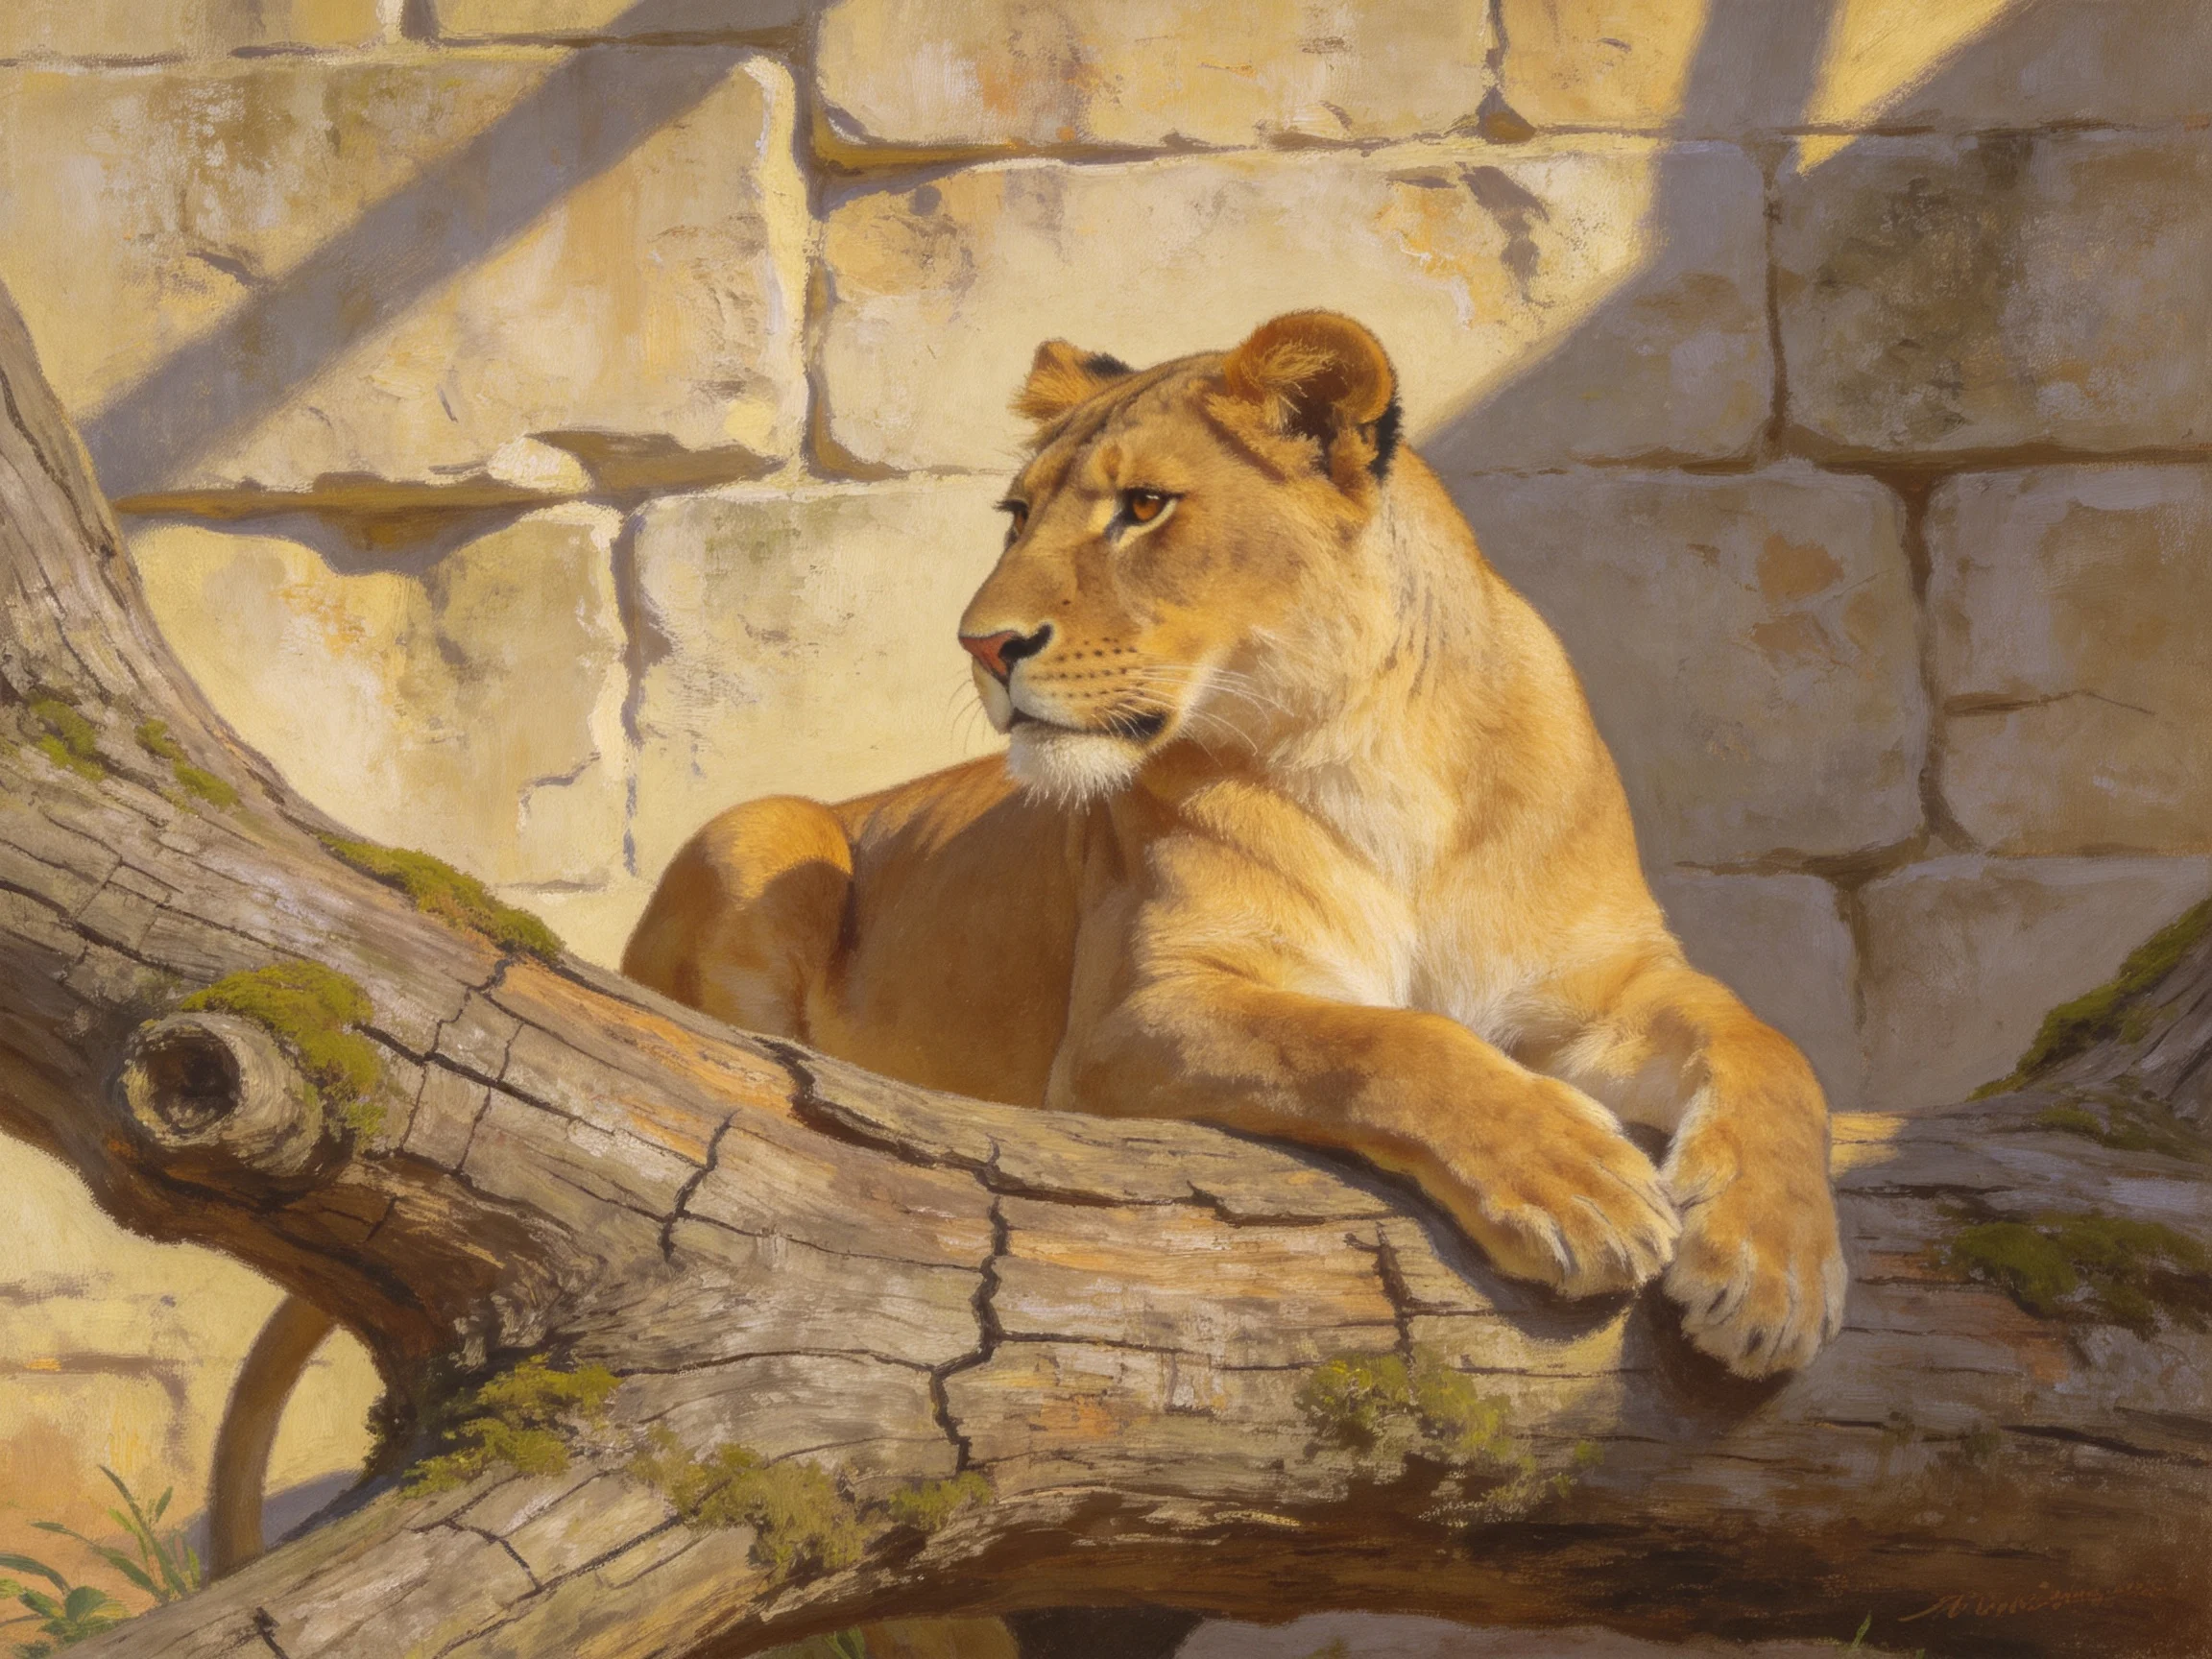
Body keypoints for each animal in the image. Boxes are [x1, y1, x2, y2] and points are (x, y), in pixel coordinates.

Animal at [623, 310, 1846, 1374]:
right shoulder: (1136, 1015)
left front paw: (1773, 1274)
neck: (1377, 744)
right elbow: (1377, 1040)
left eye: (1144, 506)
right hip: (762, 825)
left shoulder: (1599, 986)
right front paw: (1576, 1184)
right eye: (1017, 516)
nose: (981, 644)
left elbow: (1768, 1045)